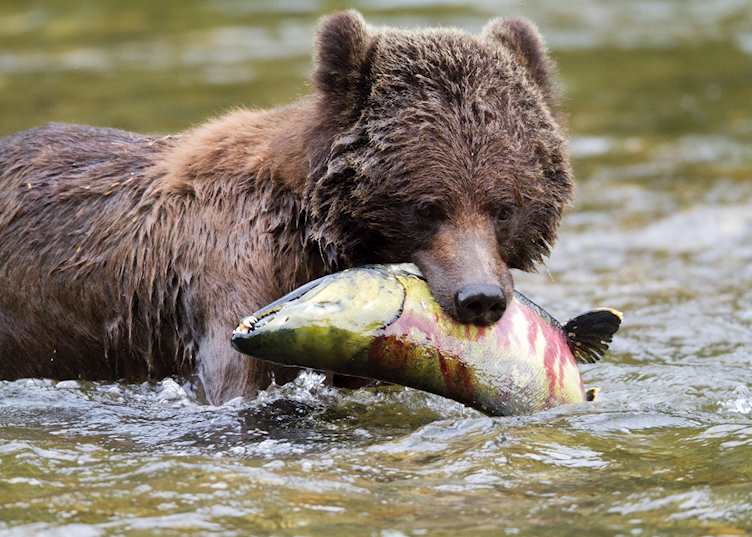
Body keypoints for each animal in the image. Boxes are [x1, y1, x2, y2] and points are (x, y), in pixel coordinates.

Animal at [0, 11, 572, 405]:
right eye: (428, 207)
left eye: (504, 206)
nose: (480, 297)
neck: (312, 225)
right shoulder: (230, 276)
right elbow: (237, 383)